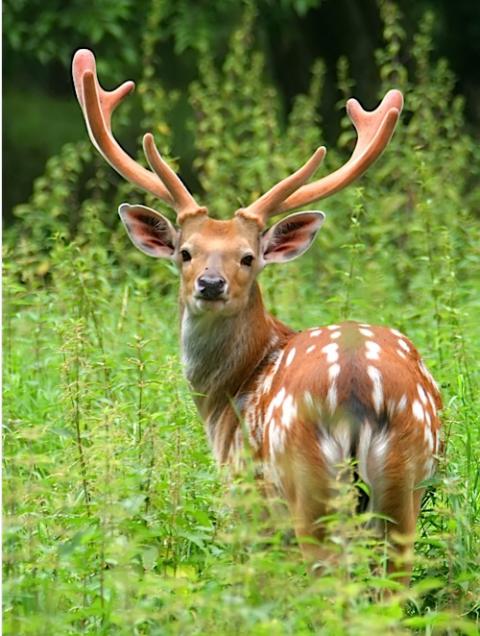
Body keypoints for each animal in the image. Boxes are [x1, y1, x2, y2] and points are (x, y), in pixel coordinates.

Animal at [71, 49, 442, 584]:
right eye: (185, 251)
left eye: (248, 257)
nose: (210, 284)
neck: (227, 397)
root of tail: (357, 384)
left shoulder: (243, 492)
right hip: (404, 481)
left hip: (306, 480)